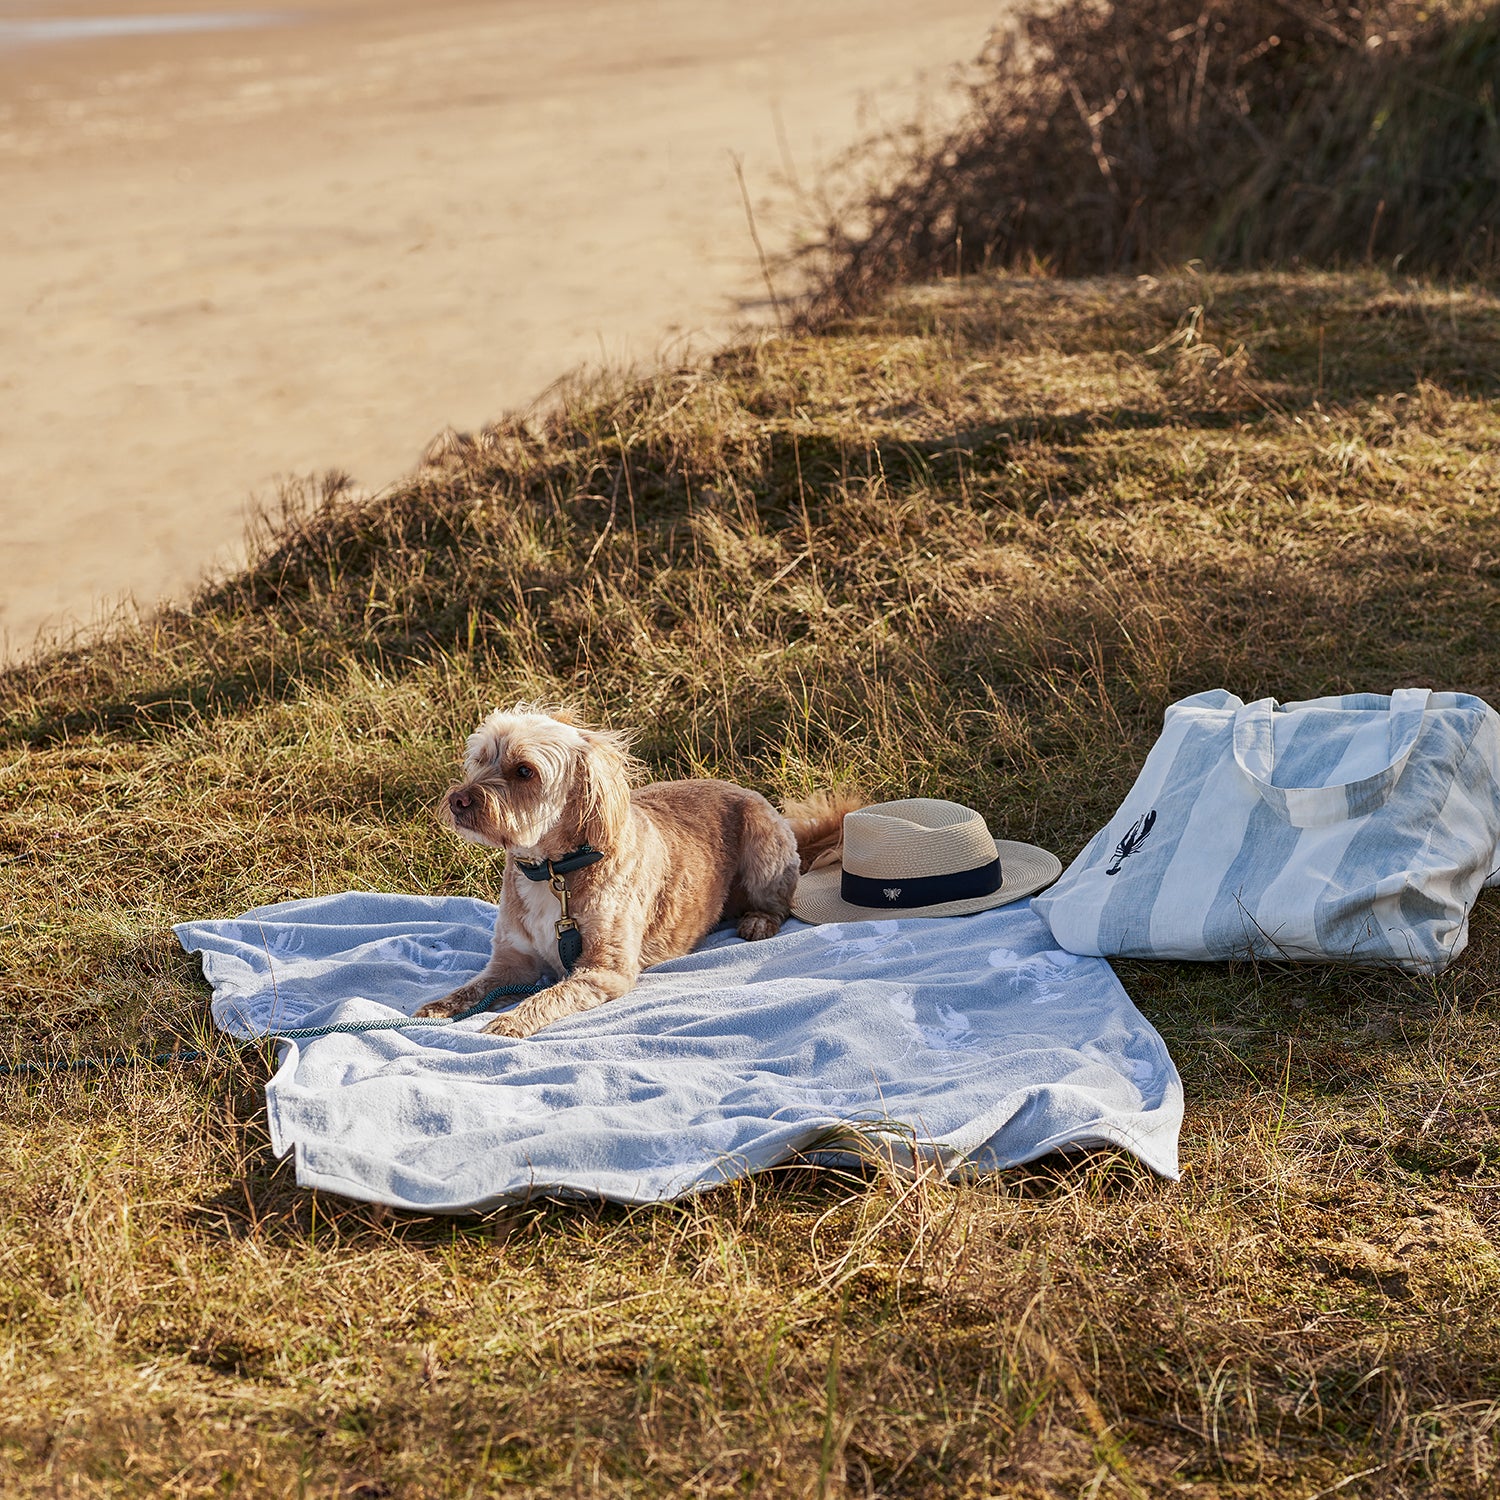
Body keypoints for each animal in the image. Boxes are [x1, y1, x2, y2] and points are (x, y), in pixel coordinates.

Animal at [414, 705, 858, 1038]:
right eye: (480, 759)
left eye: (524, 770)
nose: (457, 800)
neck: (555, 870)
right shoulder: (510, 965)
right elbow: (473, 988)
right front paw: (439, 1006)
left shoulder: (603, 971)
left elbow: (549, 996)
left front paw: (510, 1020)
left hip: (763, 843)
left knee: (779, 903)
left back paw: (758, 921)